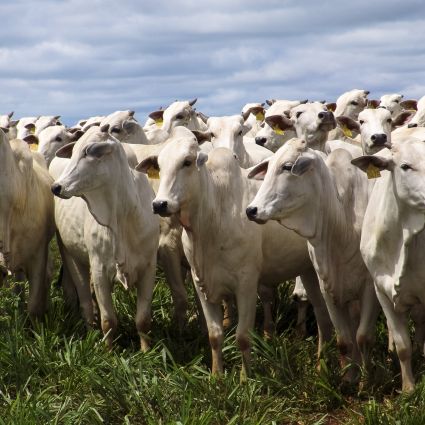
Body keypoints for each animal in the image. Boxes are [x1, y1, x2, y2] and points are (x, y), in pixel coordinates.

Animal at [51, 126, 159, 352]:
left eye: (89, 151)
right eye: (74, 151)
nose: (56, 187)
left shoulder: (148, 267)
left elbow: (143, 319)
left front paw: (146, 351)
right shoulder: (99, 269)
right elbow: (108, 320)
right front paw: (109, 352)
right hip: (71, 256)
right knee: (85, 302)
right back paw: (90, 331)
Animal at [136, 136, 332, 378]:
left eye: (187, 162)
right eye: (160, 167)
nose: (159, 204)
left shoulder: (246, 284)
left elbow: (242, 337)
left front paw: (245, 378)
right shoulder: (201, 284)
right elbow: (214, 335)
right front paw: (216, 375)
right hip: (307, 271)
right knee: (322, 317)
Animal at [247, 137, 380, 378]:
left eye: (287, 167)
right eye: (268, 168)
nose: (251, 210)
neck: (341, 226)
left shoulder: (370, 288)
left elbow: (363, 337)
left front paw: (365, 380)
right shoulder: (328, 286)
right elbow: (344, 340)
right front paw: (348, 378)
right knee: (325, 322)